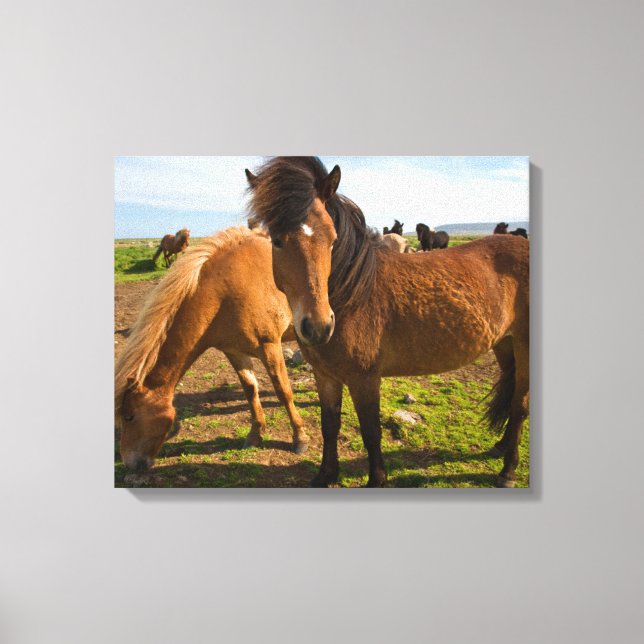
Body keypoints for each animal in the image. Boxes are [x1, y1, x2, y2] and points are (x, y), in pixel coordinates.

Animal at [115, 226, 309, 473]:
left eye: (130, 417)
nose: (129, 463)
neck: (225, 292)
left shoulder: (270, 346)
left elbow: (284, 391)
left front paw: (300, 437)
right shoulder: (234, 352)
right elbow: (250, 391)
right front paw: (255, 435)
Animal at [245, 157, 529, 488]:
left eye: (332, 239)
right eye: (277, 240)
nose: (318, 327)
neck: (353, 295)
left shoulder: (365, 379)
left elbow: (371, 433)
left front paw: (377, 480)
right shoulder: (325, 375)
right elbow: (330, 425)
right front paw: (325, 476)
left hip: (524, 347)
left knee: (520, 406)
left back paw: (507, 471)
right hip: (504, 343)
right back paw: (500, 447)